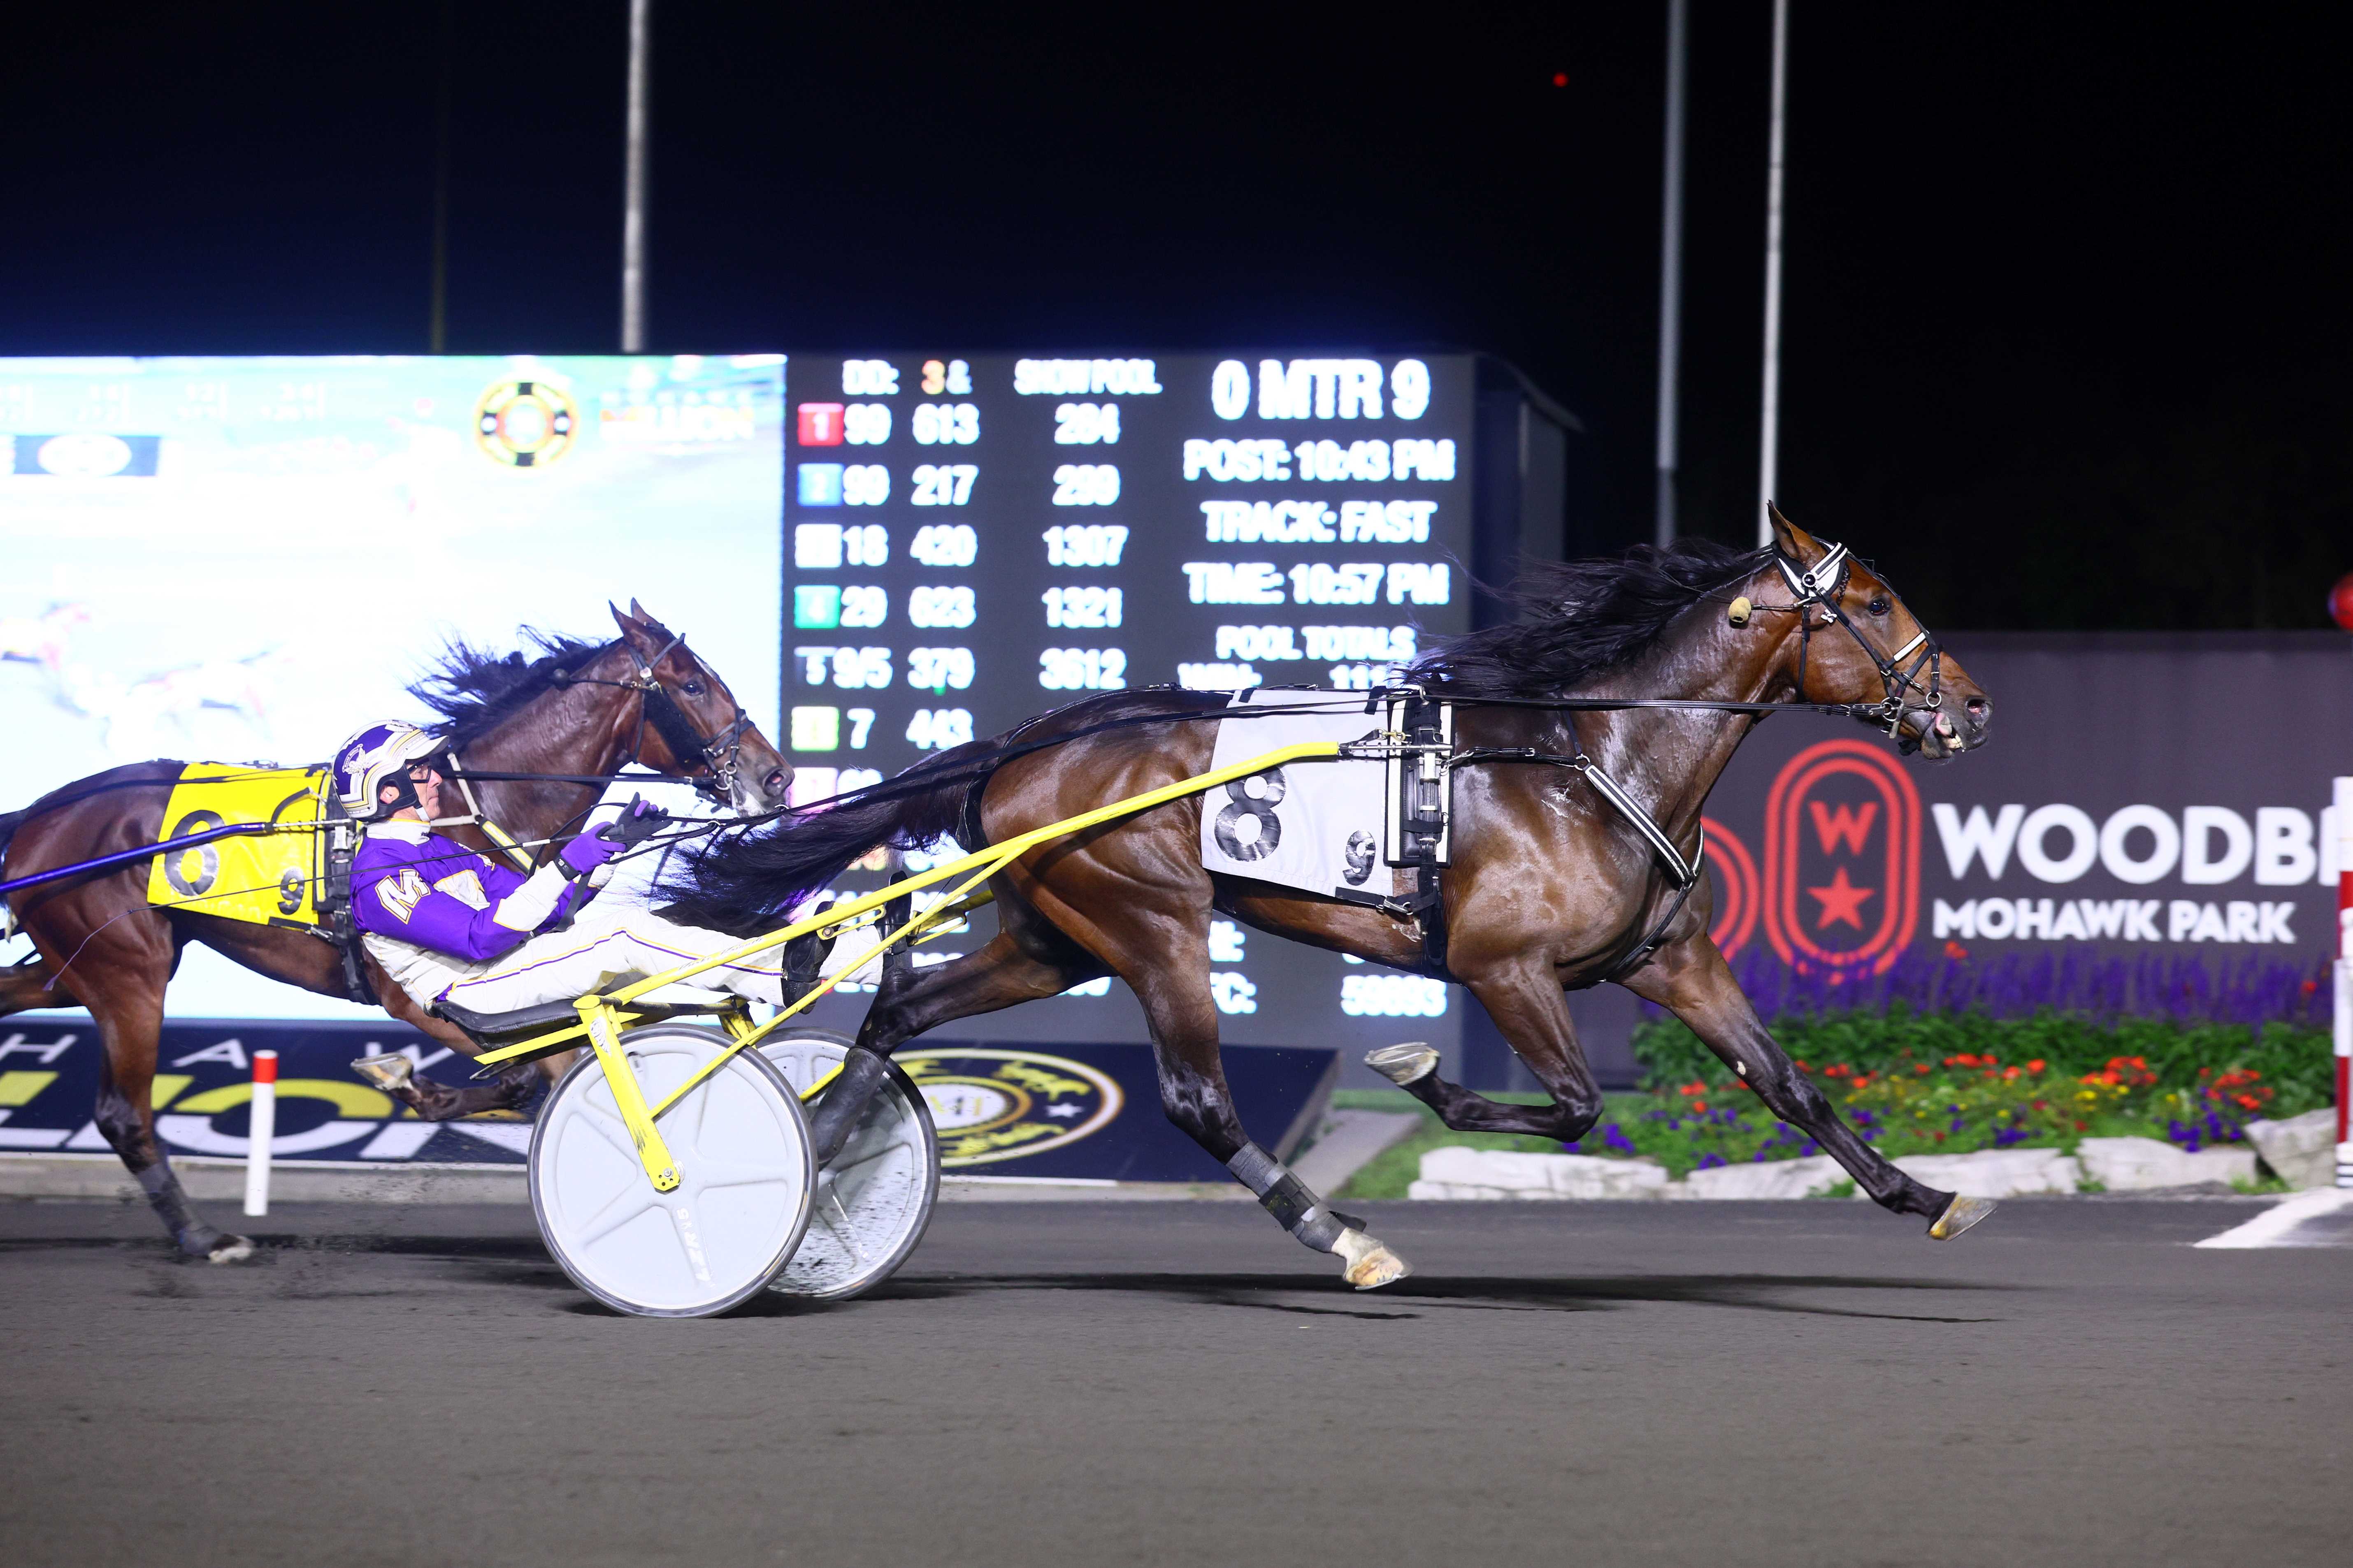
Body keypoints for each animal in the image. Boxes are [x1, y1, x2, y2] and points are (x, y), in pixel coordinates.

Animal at [0, 602, 790, 1260]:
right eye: (692, 686)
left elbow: (533, 1076)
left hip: (84, 967)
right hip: (127, 975)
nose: (775, 776)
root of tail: (40, 817)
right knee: (122, 1113)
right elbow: (539, 1077)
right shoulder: (418, 996)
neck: (470, 810)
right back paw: (204, 1236)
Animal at [659, 515, 1986, 1288]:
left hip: (1053, 934)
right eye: (1873, 602)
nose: (1966, 704)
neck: (1592, 758)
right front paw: (1413, 1070)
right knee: (1194, 1096)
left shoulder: (1668, 959)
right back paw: (1339, 1235)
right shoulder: (1505, 969)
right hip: (1153, 921)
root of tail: (1028, 739)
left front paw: (1925, 1194)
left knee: (899, 1013)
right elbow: (1566, 1105)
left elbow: (1788, 1084)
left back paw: (823, 1179)